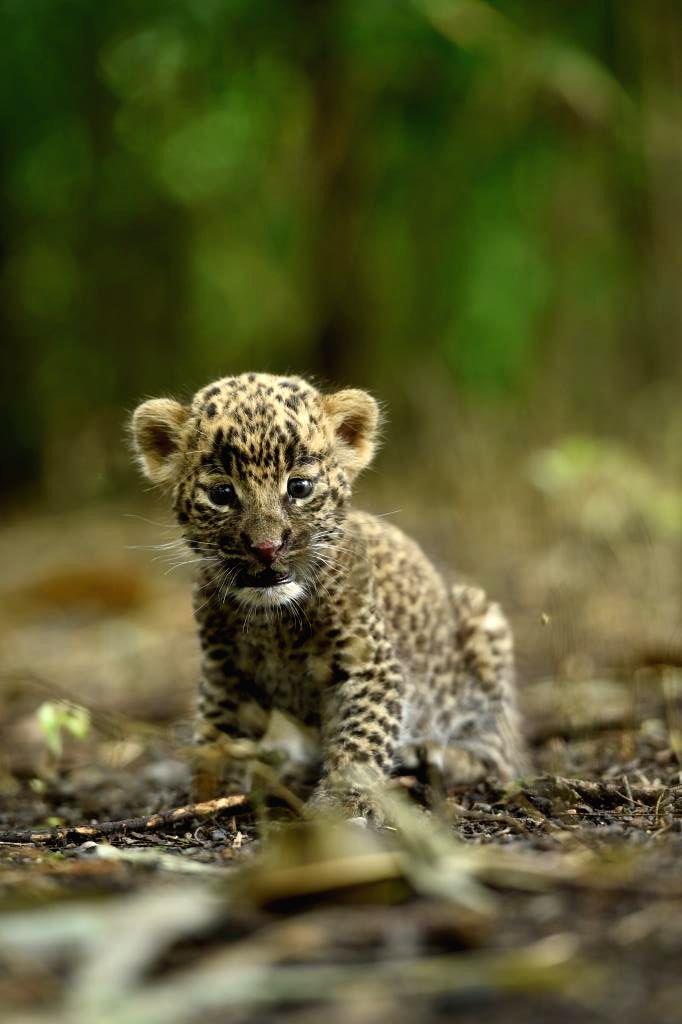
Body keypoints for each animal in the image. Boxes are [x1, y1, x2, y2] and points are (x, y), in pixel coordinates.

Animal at [131, 372, 525, 819]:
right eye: (222, 494)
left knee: (500, 749)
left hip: (484, 627)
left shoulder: (370, 665)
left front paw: (342, 803)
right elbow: (218, 736)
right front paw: (205, 795)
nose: (267, 547)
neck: (272, 621)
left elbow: (362, 738)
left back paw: (436, 755)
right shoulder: (224, 671)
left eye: (299, 487)